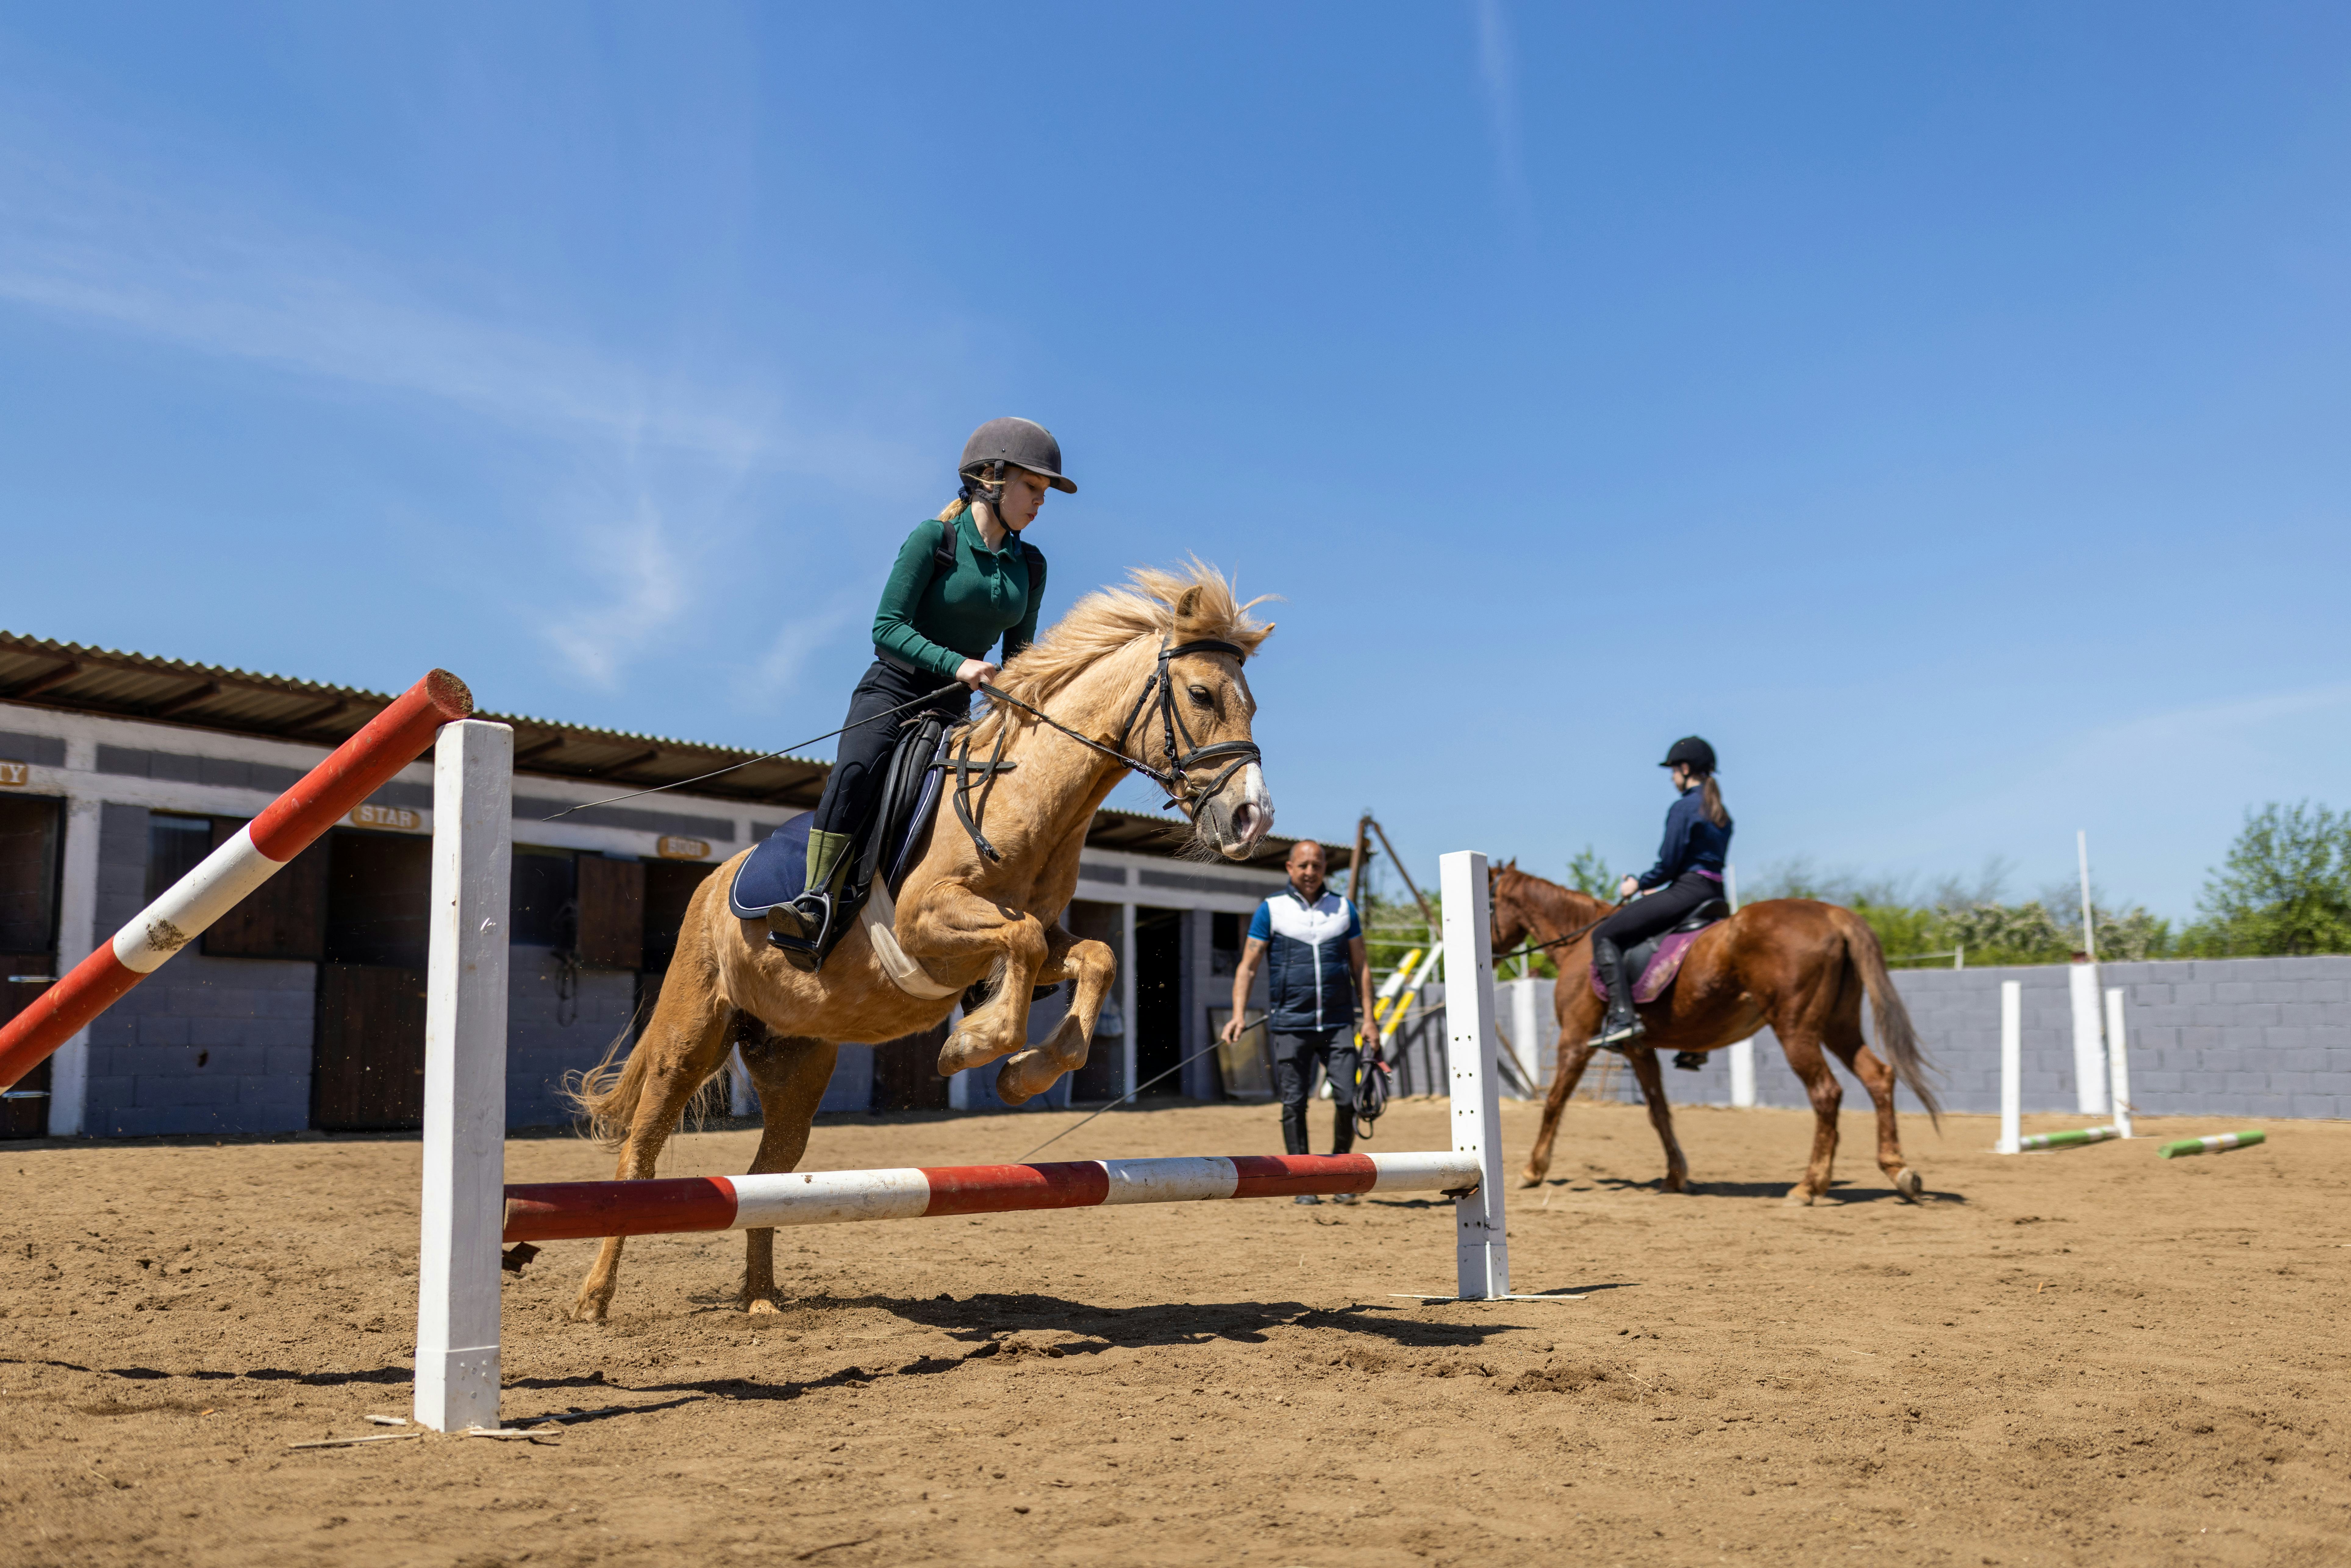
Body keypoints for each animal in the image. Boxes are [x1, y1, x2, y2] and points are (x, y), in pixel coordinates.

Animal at [562, 566, 1279, 1326]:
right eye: (1201, 694)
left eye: (1251, 703)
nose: (1252, 819)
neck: (1023, 795)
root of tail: (712, 882)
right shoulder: (925, 925)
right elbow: (1021, 942)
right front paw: (975, 1044)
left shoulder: (1039, 939)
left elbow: (1093, 956)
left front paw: (1025, 1073)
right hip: (690, 1035)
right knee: (639, 1156)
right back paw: (595, 1300)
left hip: (794, 1062)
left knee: (766, 1177)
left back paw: (760, 1300)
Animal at [1495, 865, 1937, 1213]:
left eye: (1488, 902)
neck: (1578, 945)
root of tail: (1831, 912)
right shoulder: (1640, 1050)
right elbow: (1658, 1112)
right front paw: (1675, 1176)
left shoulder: (1574, 1039)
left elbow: (1553, 1102)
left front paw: (1532, 1170)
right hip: (1837, 1026)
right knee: (1878, 1076)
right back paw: (1899, 1172)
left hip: (1796, 1029)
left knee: (1826, 1093)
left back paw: (1808, 1186)